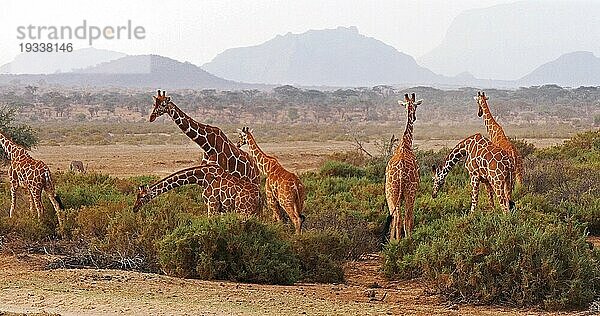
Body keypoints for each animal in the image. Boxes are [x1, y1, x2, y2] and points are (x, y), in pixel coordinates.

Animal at [384, 93, 422, 239]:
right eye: (415, 106)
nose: (415, 117)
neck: (405, 143)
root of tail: (400, 173)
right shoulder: (414, 191)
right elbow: (410, 218)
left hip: (390, 193)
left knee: (395, 217)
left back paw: (394, 241)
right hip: (409, 192)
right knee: (405, 218)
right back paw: (407, 240)